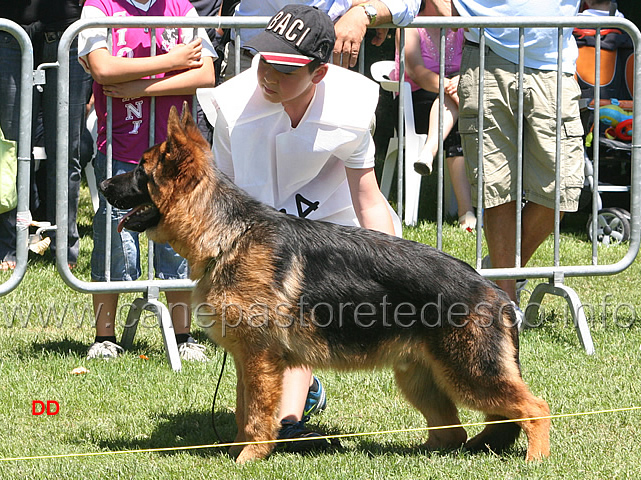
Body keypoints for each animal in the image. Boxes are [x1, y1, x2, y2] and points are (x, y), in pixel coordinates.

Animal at [100, 106, 552, 464]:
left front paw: (249, 458)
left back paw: (536, 459)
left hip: (471, 375)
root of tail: (494, 291)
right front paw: (239, 450)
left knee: (535, 406)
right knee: (453, 433)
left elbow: (257, 414)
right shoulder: (249, 361)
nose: (103, 185)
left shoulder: (261, 360)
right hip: (421, 379)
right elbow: (244, 412)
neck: (228, 234)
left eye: (140, 170)